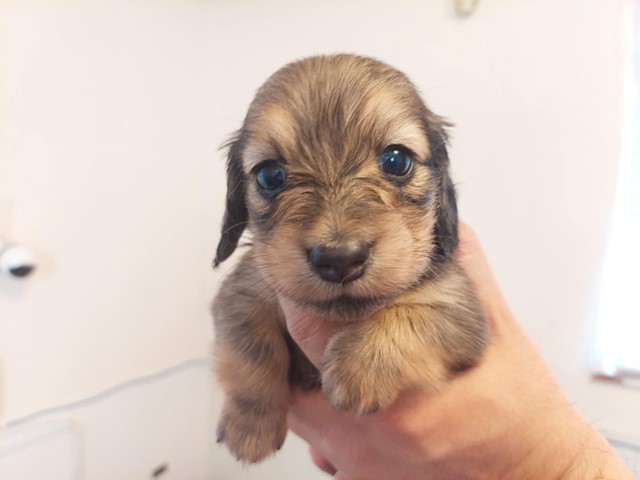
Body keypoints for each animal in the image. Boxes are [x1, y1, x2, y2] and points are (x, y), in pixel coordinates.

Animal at [212, 54, 488, 463]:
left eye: (395, 160)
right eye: (270, 175)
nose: (339, 260)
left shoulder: (462, 313)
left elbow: (411, 316)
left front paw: (360, 366)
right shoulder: (242, 291)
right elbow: (251, 351)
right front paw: (250, 424)